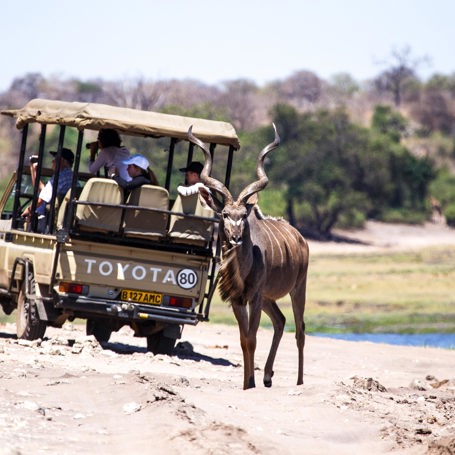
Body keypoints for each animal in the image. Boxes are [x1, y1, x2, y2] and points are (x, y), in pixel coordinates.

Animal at [188, 125, 310, 392]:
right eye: (224, 213)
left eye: (243, 215)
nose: (235, 238)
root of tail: (301, 238)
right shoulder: (239, 299)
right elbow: (244, 339)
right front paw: (248, 383)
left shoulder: (253, 297)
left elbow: (252, 338)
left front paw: (250, 384)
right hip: (268, 298)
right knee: (280, 321)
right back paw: (267, 376)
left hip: (298, 288)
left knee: (300, 330)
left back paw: (299, 382)